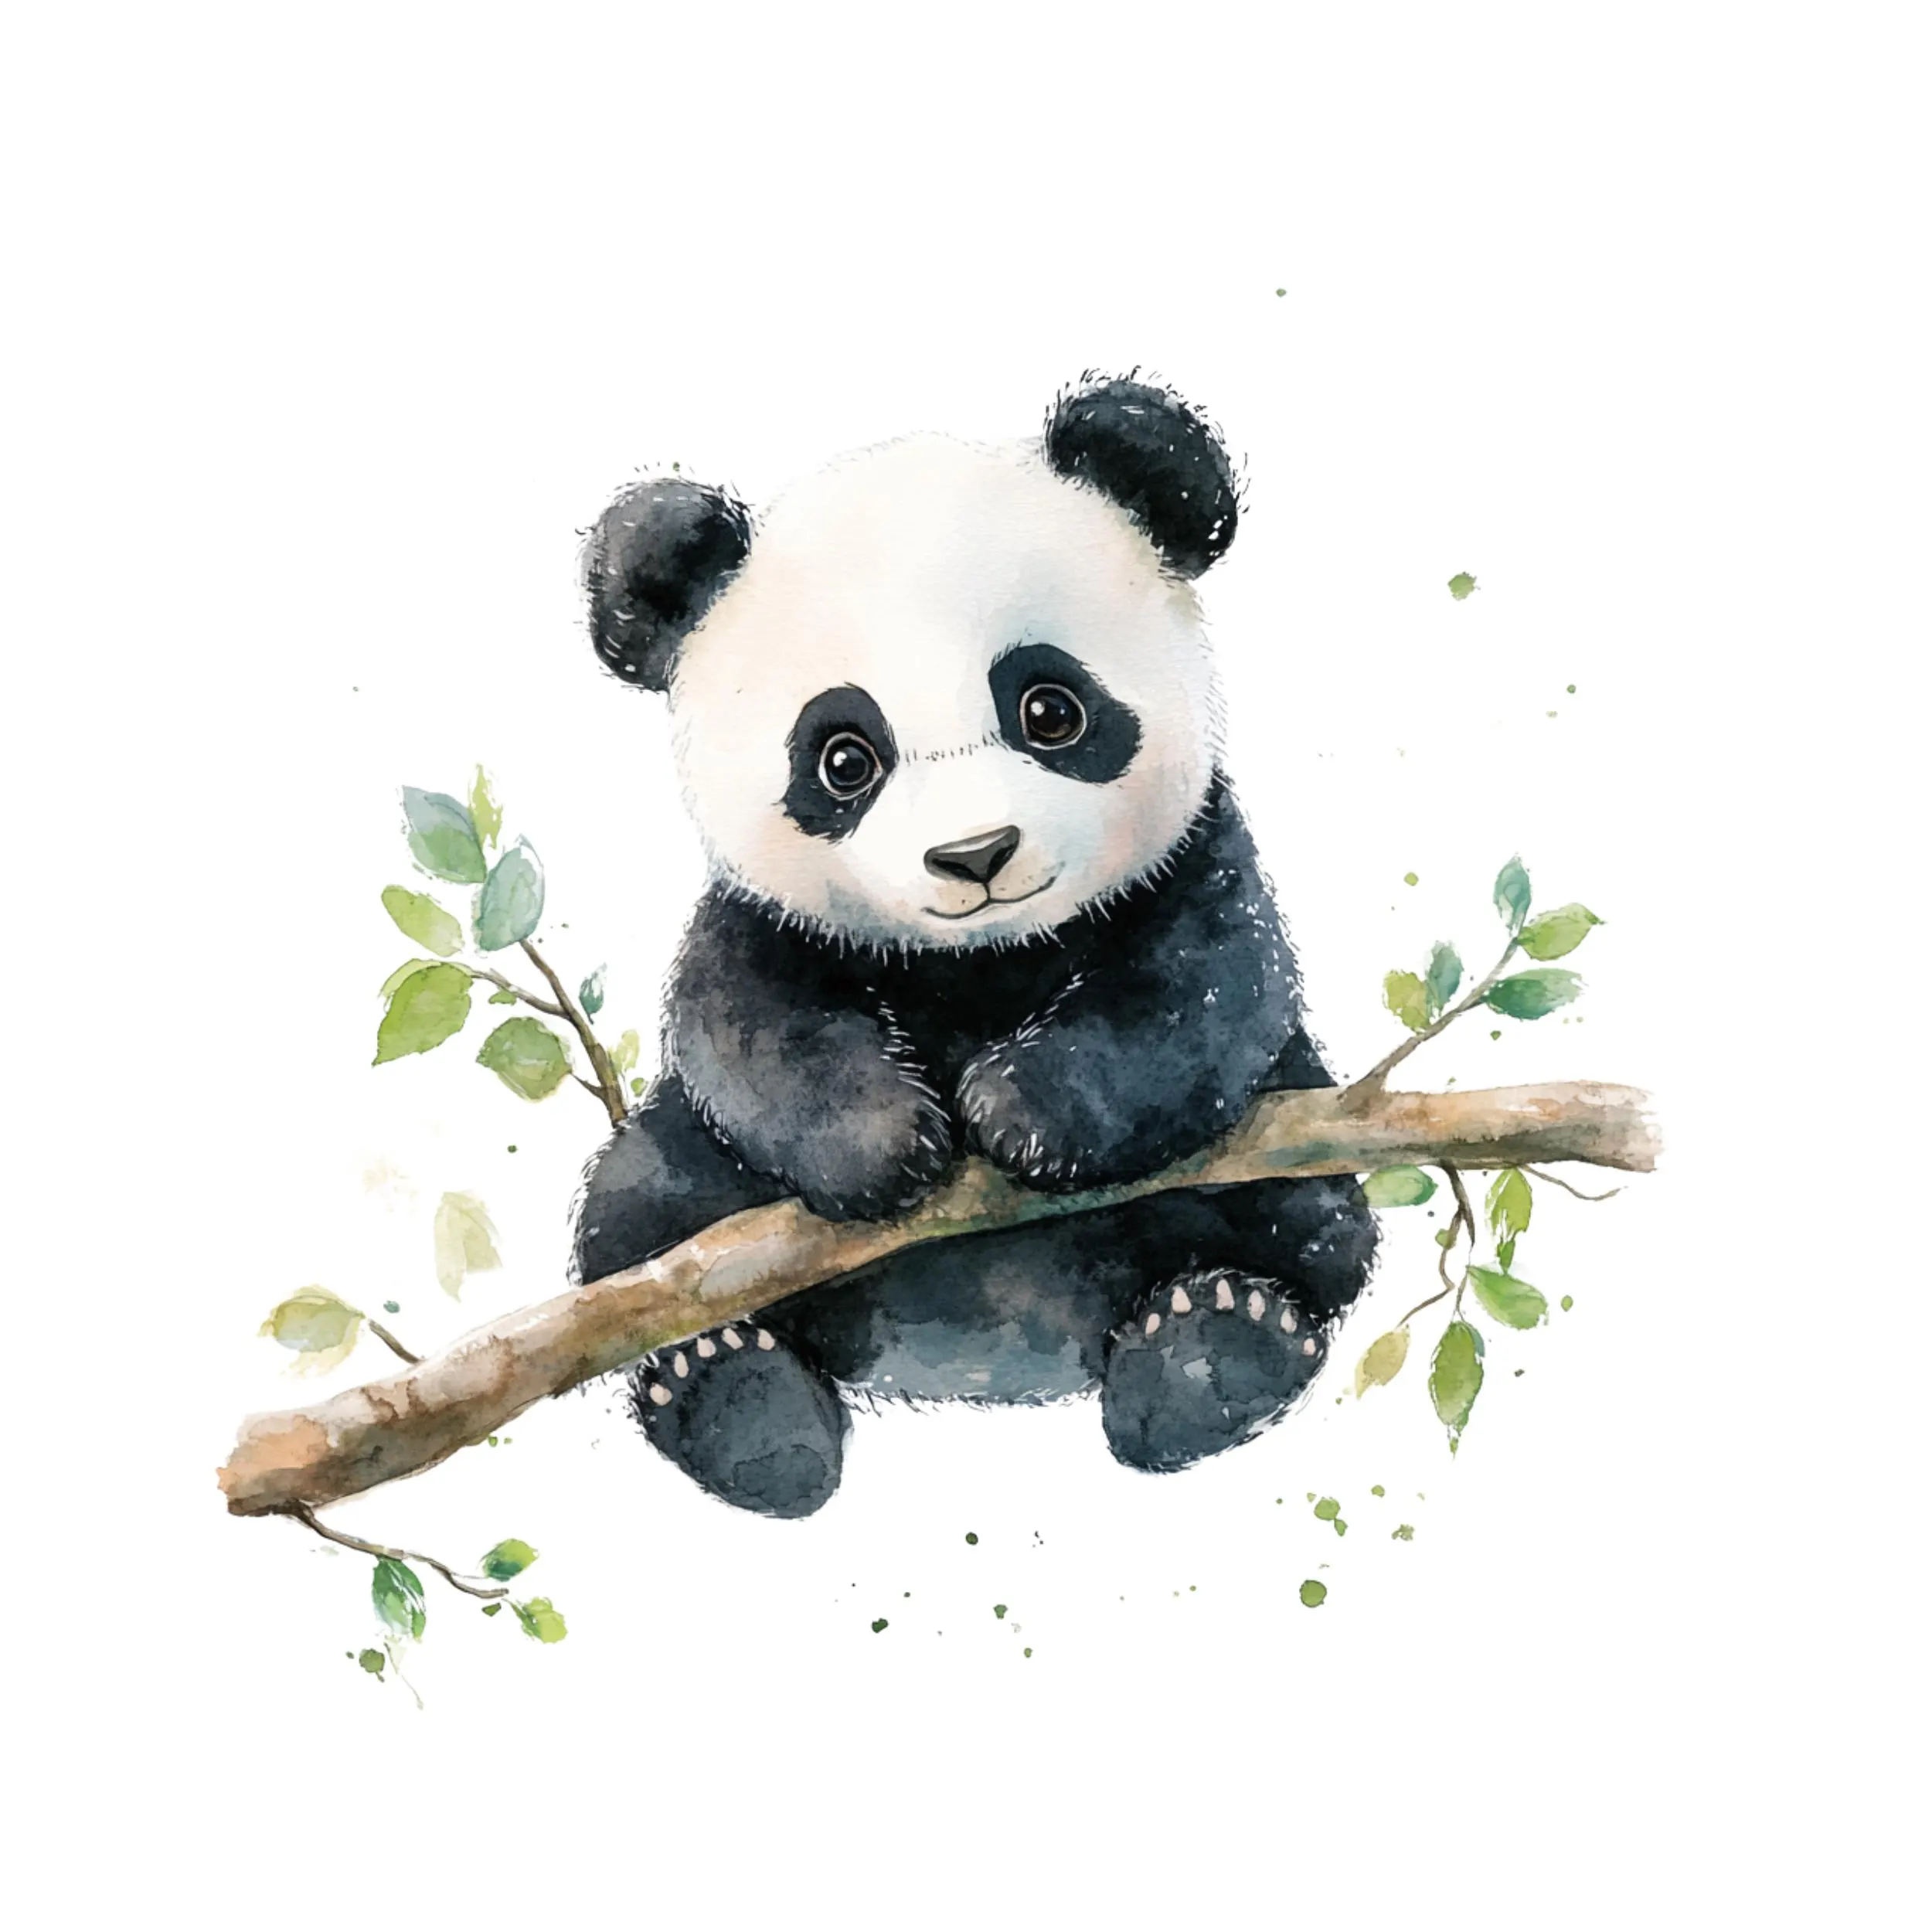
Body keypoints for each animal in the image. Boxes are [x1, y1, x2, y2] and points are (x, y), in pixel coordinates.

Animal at [572, 374, 1378, 1517]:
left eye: (1050, 708)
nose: (974, 855)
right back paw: (738, 1402)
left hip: (1292, 1136)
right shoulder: (764, 918)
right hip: (684, 1208)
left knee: (1316, 1221)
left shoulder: (1195, 861)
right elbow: (742, 1025)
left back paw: (1212, 1353)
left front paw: (1020, 1112)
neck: (984, 960)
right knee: (633, 1213)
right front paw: (889, 1145)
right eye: (844, 758)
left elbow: (1203, 994)